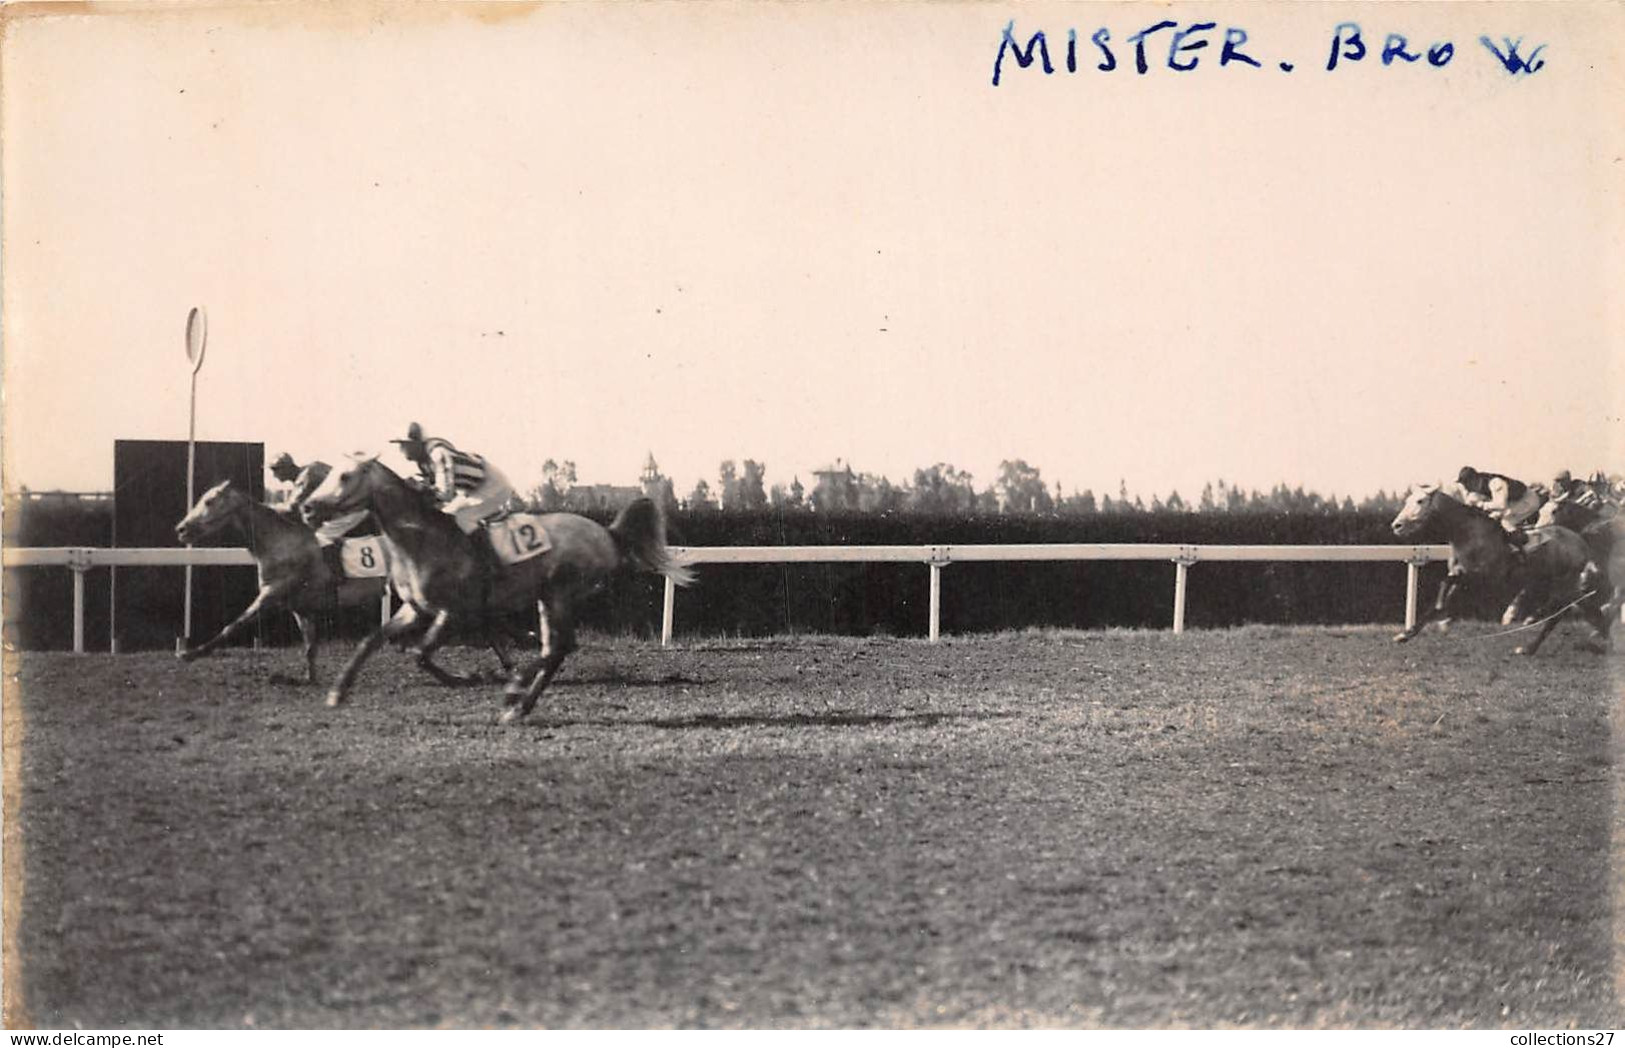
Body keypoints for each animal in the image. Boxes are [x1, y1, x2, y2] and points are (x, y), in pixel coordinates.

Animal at [173, 480, 523, 685]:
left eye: (209, 501)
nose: (182, 528)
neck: (281, 541)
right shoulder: (302, 607)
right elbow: (310, 645)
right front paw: (309, 677)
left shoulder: (272, 594)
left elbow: (233, 625)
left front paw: (190, 653)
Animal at [299, 454, 692, 724]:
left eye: (345, 475)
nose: (308, 508)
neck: (421, 539)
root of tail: (608, 532)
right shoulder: (415, 608)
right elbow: (371, 641)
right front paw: (337, 692)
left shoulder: (455, 612)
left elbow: (421, 654)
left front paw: (466, 677)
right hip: (547, 597)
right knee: (557, 648)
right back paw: (520, 705)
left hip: (560, 593)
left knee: (559, 647)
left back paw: (515, 690)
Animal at [1391, 484, 1605, 653]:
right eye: (1407, 500)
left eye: (1420, 501)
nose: (1396, 525)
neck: (1467, 532)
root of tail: (1581, 540)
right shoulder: (1460, 574)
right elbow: (1443, 593)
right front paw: (1408, 633)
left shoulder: (1481, 577)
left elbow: (1446, 586)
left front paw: (1442, 621)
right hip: (1549, 581)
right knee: (1577, 603)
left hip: (1564, 582)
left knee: (1561, 610)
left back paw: (1530, 642)